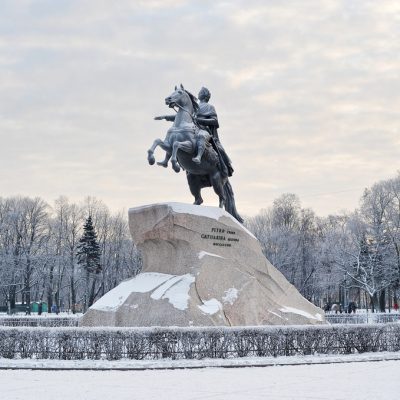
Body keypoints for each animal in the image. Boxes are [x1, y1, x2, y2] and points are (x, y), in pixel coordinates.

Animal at [146, 84, 242, 223]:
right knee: (199, 199)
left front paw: (175, 165)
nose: (167, 99)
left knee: (222, 198)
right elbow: (158, 141)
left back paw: (220, 213)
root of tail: (227, 174)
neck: (181, 123)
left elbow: (177, 145)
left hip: (216, 180)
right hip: (192, 180)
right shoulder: (167, 145)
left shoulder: (189, 147)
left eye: (179, 92)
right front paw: (152, 159)